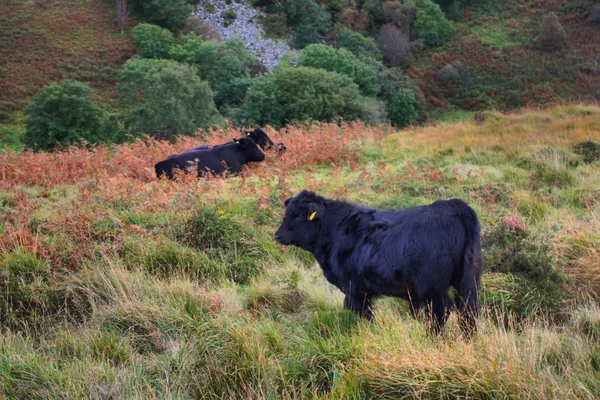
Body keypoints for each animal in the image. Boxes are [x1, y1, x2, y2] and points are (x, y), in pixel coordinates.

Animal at [276, 191, 482, 338]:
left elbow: (363, 314)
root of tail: (454, 205)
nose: (277, 235)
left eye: (296, 216)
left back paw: (431, 338)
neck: (334, 231)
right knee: (468, 310)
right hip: (467, 280)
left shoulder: (354, 288)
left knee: (443, 310)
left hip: (432, 286)